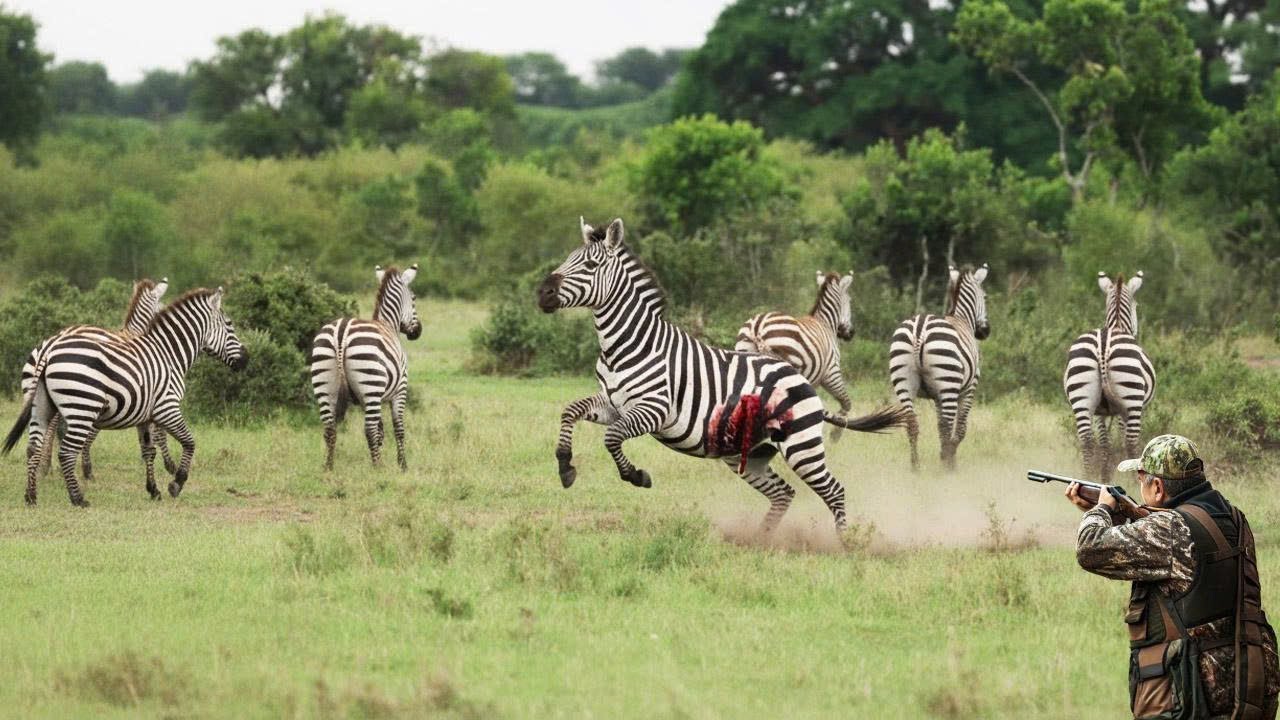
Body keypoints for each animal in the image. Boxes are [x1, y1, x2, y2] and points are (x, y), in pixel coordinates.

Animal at [309, 264, 421, 471]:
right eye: (414, 298)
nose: (417, 332)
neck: (388, 324)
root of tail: (341, 331)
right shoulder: (400, 390)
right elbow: (398, 428)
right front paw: (402, 465)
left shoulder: (364, 398)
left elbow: (381, 430)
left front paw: (381, 457)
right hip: (371, 382)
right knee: (368, 428)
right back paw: (377, 468)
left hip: (324, 382)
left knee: (329, 428)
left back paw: (328, 467)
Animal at [735, 271, 855, 438]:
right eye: (849, 301)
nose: (850, 333)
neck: (826, 323)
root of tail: (758, 325)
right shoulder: (831, 372)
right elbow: (846, 402)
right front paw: (835, 434)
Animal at [889, 264, 990, 470]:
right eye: (985, 297)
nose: (985, 331)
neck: (962, 319)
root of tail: (919, 328)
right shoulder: (970, 387)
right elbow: (960, 427)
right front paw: (950, 459)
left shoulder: (936, 396)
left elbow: (939, 424)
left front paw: (946, 456)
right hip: (948, 382)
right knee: (948, 423)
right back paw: (945, 465)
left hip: (903, 380)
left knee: (912, 422)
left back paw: (916, 467)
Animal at [1063, 272, 1155, 481]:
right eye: (1136, 305)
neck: (1117, 326)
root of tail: (1103, 344)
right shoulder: (1124, 410)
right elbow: (1121, 439)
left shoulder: (1099, 413)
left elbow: (1105, 443)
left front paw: (1105, 477)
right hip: (1131, 397)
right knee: (1130, 441)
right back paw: (1133, 480)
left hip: (1081, 393)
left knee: (1087, 440)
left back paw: (1087, 477)